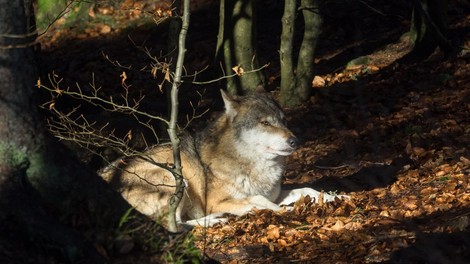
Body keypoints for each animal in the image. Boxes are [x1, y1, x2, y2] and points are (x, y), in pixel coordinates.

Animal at [101, 87, 340, 227]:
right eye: (265, 123)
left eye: (284, 121)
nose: (294, 141)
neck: (249, 163)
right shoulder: (217, 202)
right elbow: (261, 201)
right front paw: (288, 210)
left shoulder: (276, 193)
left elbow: (307, 190)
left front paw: (336, 197)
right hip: (175, 178)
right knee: (176, 225)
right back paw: (215, 220)